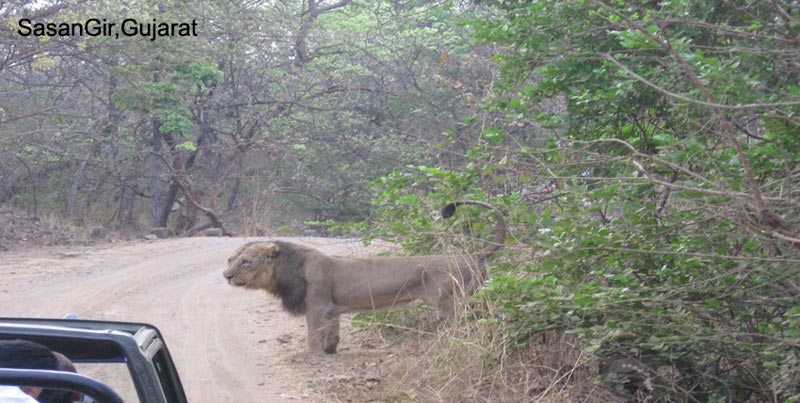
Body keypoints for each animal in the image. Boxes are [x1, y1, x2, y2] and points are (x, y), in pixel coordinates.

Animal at [223, 200, 506, 354]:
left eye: (246, 262)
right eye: (229, 259)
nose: (226, 275)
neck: (287, 269)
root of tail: (470, 255)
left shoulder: (317, 307)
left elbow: (313, 335)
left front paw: (313, 355)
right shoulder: (332, 308)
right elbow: (332, 333)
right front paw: (330, 350)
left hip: (451, 301)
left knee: (467, 323)